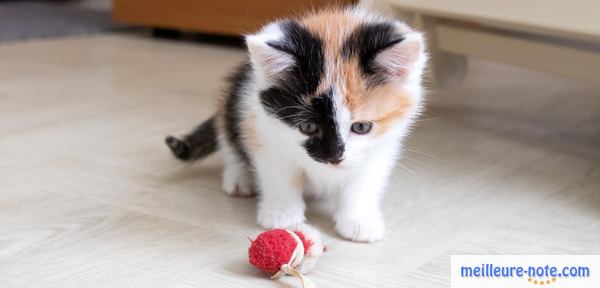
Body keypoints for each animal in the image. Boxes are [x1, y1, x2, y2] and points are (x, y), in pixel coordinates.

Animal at [165, 6, 426, 242]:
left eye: (362, 127)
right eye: (308, 127)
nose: (334, 157)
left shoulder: (382, 147)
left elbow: (364, 180)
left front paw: (358, 221)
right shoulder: (261, 125)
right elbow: (278, 170)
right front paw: (282, 214)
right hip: (234, 99)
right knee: (228, 136)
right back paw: (239, 176)